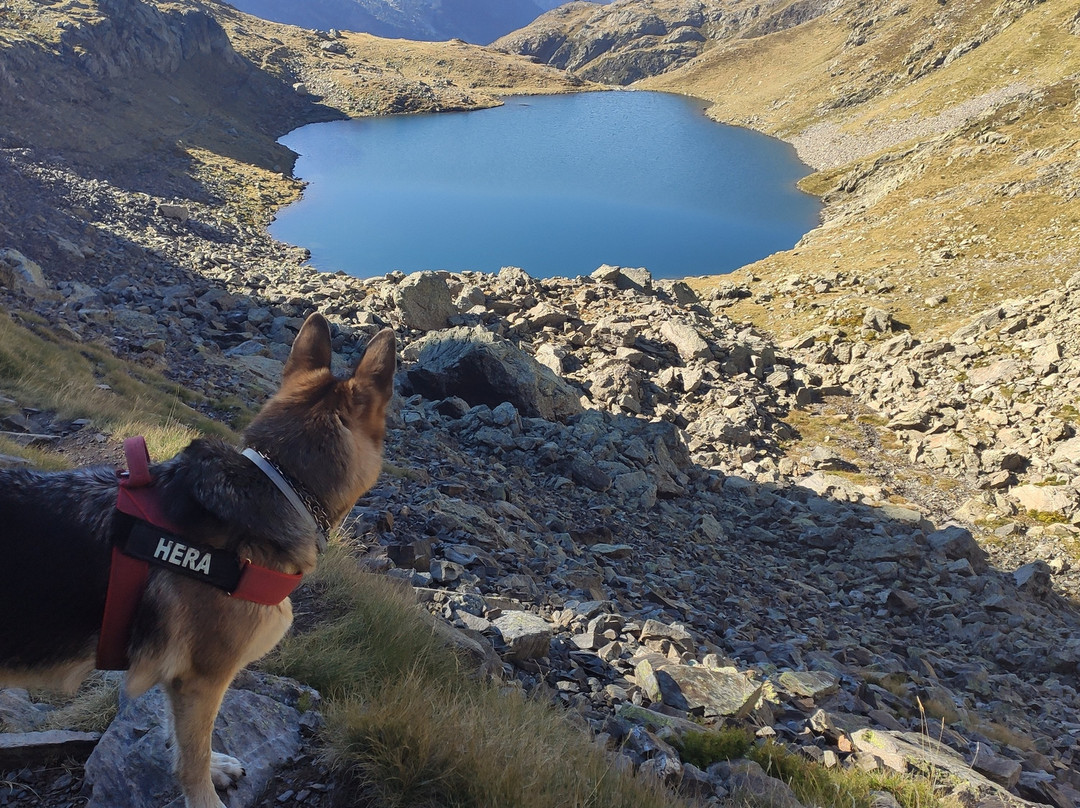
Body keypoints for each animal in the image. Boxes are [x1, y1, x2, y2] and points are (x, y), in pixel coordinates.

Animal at [0, 313, 397, 808]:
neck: (282, 481)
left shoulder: (181, 680)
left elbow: (182, 737)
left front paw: (213, 765)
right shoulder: (204, 678)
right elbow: (193, 760)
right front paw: (206, 790)